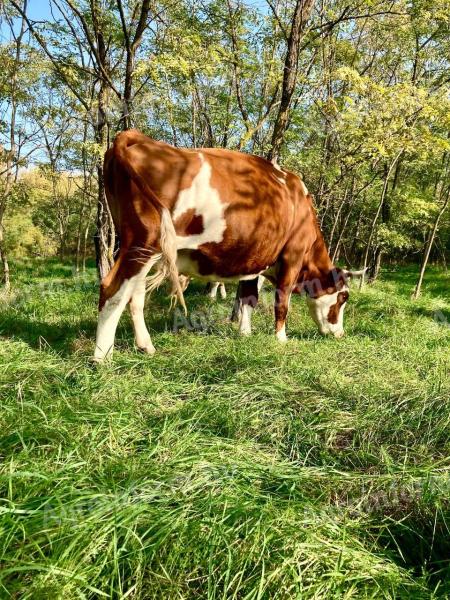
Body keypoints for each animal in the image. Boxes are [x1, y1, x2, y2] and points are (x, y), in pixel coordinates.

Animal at [94, 130, 362, 360]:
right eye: (343, 298)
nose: (340, 334)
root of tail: (137, 137)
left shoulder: (256, 260)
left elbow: (249, 298)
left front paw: (245, 334)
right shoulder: (292, 256)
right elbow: (282, 301)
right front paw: (280, 339)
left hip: (143, 249)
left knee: (135, 295)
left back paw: (145, 346)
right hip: (144, 243)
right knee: (113, 291)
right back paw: (102, 357)